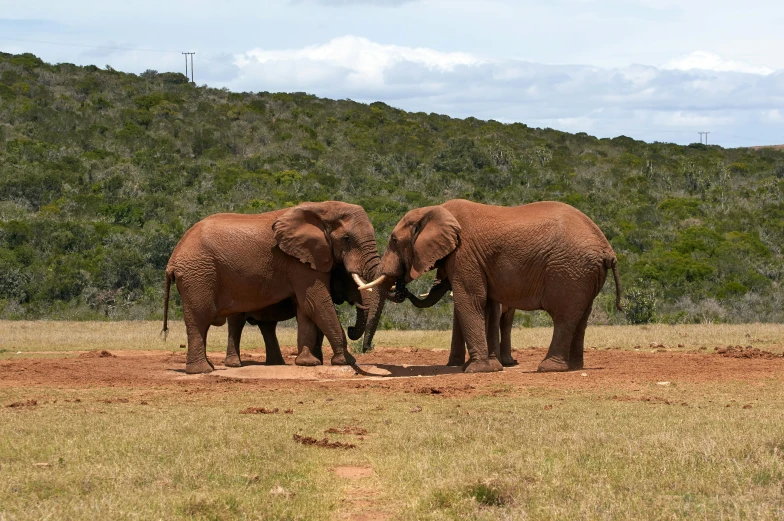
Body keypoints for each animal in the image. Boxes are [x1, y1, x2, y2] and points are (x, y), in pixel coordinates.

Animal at [222, 266, 366, 368]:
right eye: (349, 281)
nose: (350, 328)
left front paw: (318, 360)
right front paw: (317, 360)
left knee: (267, 326)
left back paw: (276, 363)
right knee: (236, 321)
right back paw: (234, 364)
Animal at [358, 199, 620, 374]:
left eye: (393, 241)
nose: (367, 349)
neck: (435, 210)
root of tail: (607, 249)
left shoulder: (464, 254)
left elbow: (470, 299)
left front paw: (477, 369)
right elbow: (489, 304)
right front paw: (490, 366)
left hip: (569, 271)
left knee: (564, 317)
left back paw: (548, 368)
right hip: (584, 273)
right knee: (581, 316)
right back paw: (573, 366)